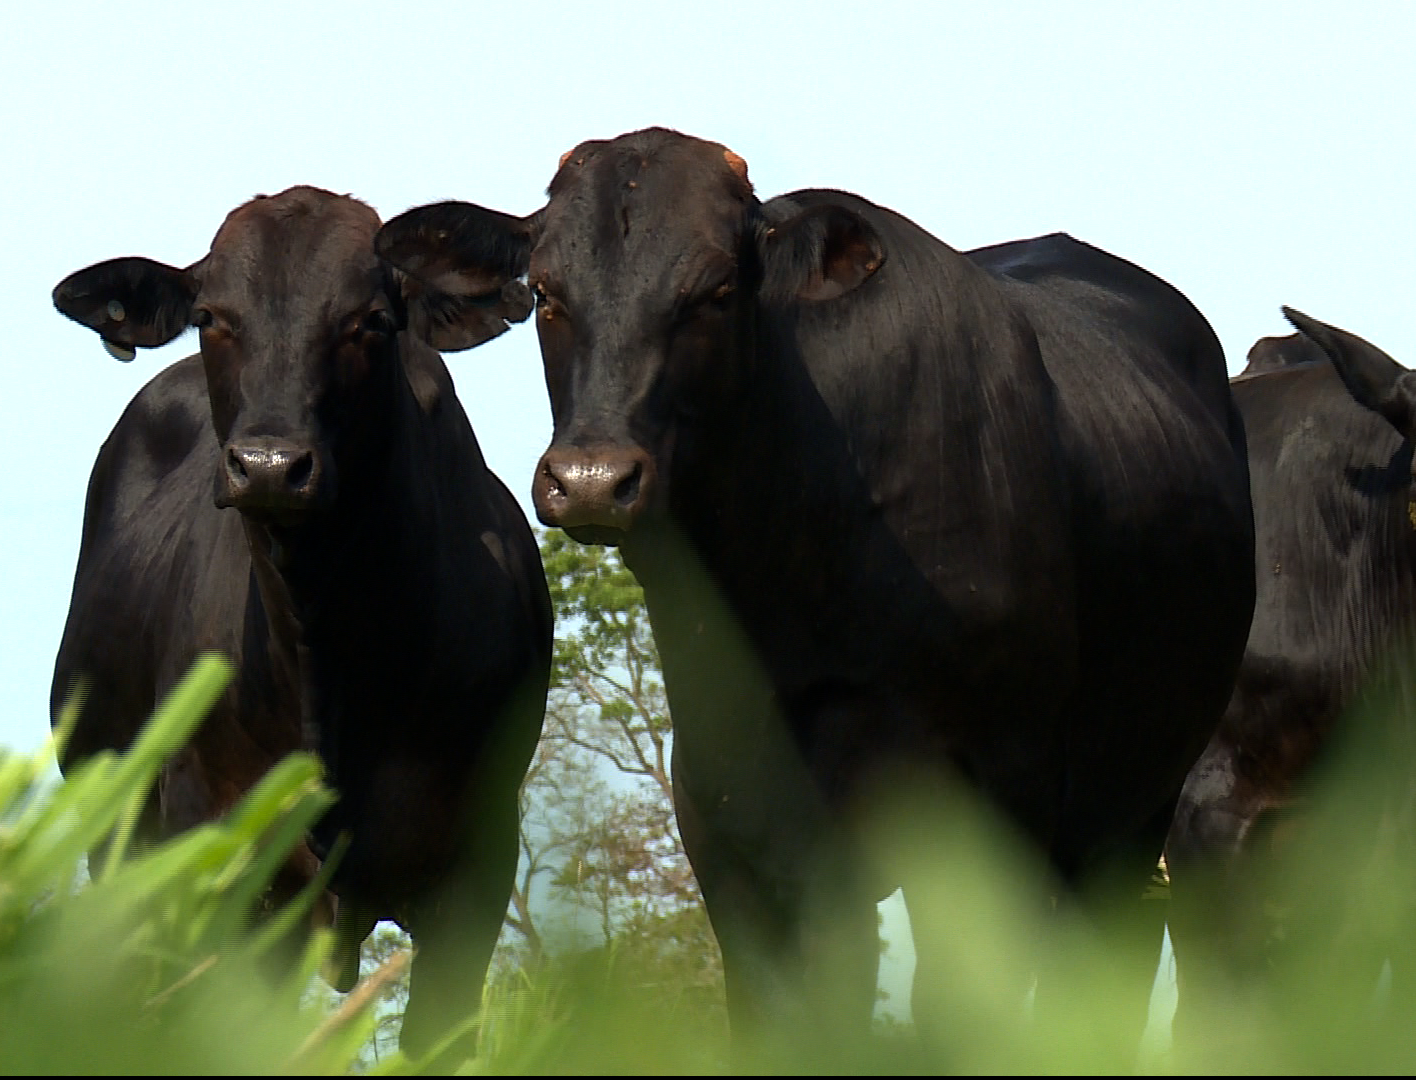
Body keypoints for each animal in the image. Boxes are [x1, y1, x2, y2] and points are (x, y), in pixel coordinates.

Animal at [373, 128, 1251, 1064]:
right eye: (545, 290)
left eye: (717, 290)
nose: (593, 480)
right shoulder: (736, 828)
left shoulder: (998, 806)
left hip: (1131, 814)